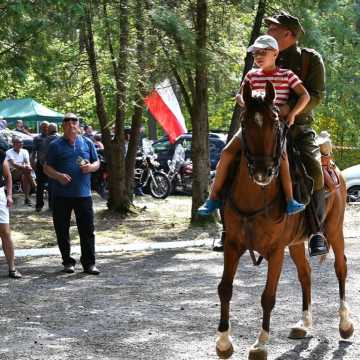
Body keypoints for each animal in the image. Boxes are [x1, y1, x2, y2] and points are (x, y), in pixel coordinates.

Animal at [215, 81, 352, 360]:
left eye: (275, 123)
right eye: (244, 122)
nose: (262, 171)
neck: (254, 196)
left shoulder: (276, 251)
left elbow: (268, 296)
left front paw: (260, 344)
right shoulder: (233, 245)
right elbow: (225, 288)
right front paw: (223, 341)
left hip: (334, 229)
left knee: (341, 267)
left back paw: (345, 324)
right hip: (297, 242)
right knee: (305, 274)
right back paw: (304, 324)